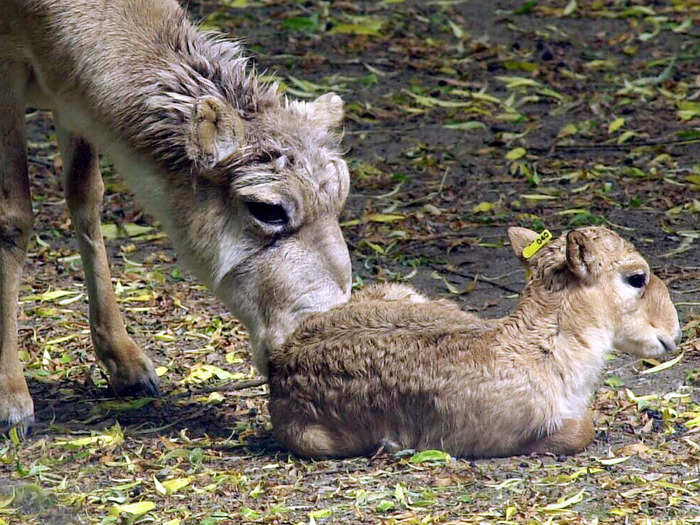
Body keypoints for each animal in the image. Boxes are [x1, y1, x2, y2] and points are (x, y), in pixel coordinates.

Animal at [0, 1, 350, 434]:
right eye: (267, 209)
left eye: (343, 191)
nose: (318, 343)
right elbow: (14, 215)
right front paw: (11, 397)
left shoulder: (68, 92)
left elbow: (86, 195)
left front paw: (126, 362)